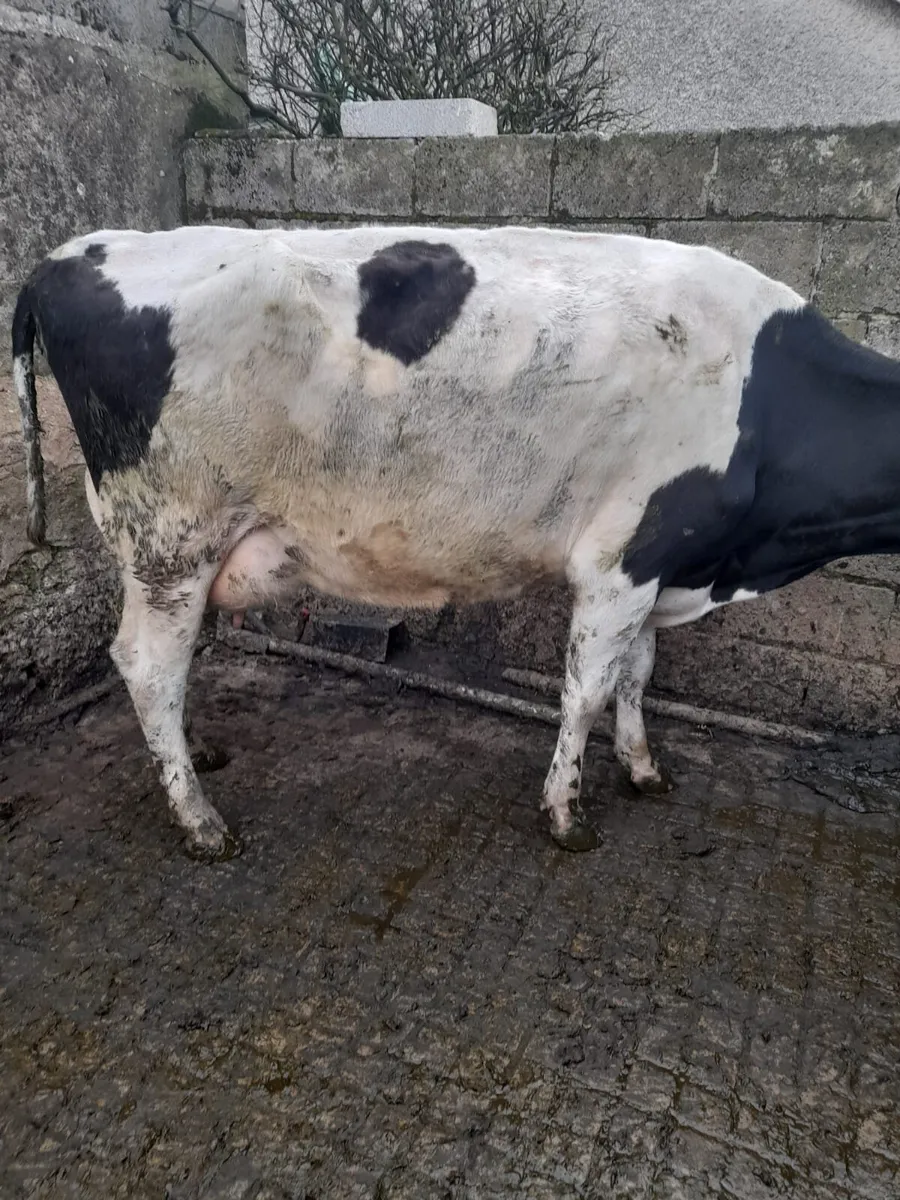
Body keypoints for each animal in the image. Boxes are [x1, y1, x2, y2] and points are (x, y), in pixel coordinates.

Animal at [12, 224, 900, 860]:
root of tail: (67, 254)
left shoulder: (664, 560)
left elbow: (637, 675)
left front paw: (644, 768)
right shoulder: (620, 559)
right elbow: (587, 689)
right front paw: (566, 814)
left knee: (165, 666)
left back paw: (193, 755)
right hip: (172, 534)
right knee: (148, 665)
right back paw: (199, 820)